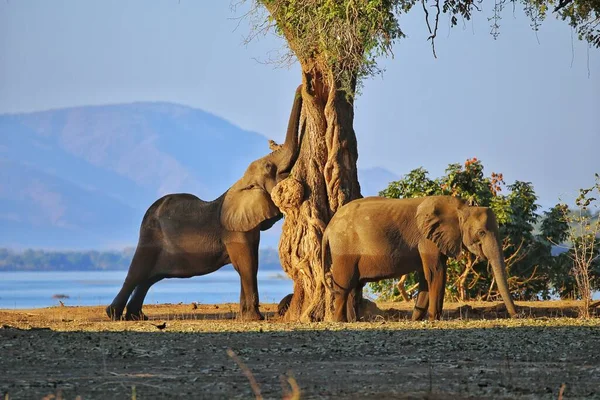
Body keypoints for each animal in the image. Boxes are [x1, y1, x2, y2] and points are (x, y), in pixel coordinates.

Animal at [105, 85, 302, 322]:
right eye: (269, 167)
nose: (302, 87)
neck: (241, 183)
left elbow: (248, 263)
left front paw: (245, 317)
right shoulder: (234, 230)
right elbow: (247, 265)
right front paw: (255, 319)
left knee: (149, 277)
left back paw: (136, 317)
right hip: (149, 236)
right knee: (137, 272)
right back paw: (113, 314)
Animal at [324, 195, 520, 324]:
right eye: (481, 233)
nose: (516, 316)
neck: (460, 207)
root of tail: (329, 227)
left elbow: (429, 276)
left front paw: (417, 320)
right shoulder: (427, 240)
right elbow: (435, 273)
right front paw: (434, 319)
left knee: (354, 286)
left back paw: (354, 320)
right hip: (344, 247)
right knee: (344, 284)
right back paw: (339, 321)